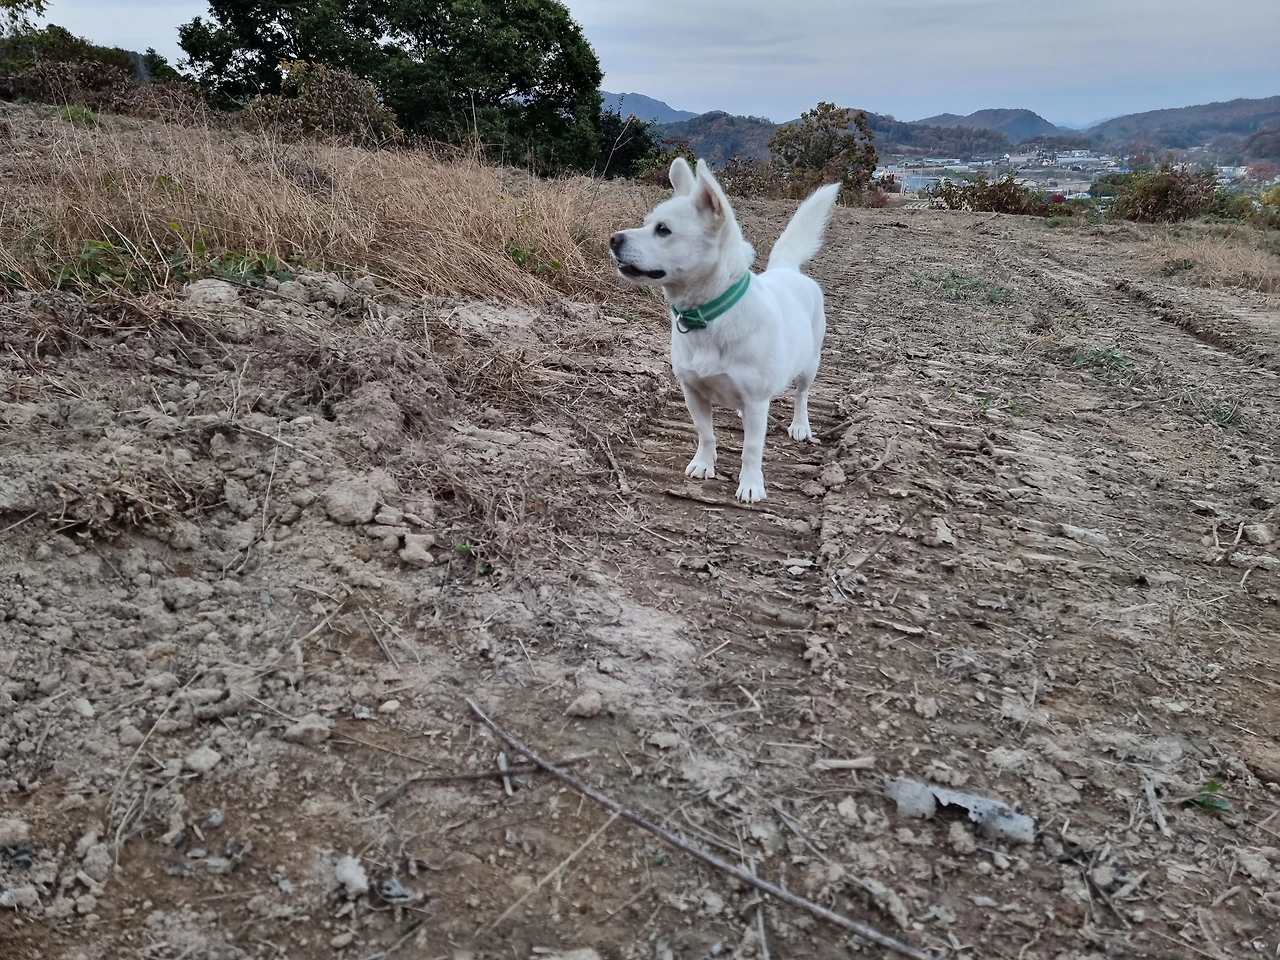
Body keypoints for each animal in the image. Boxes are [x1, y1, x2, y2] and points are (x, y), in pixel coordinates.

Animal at [610, 157, 840, 503]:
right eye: (646, 223)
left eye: (663, 229)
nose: (613, 239)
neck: (709, 316)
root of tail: (786, 269)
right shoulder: (692, 391)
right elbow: (705, 433)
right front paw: (704, 463)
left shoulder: (757, 400)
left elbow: (752, 448)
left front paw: (751, 483)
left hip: (810, 364)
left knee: (801, 395)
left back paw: (800, 425)